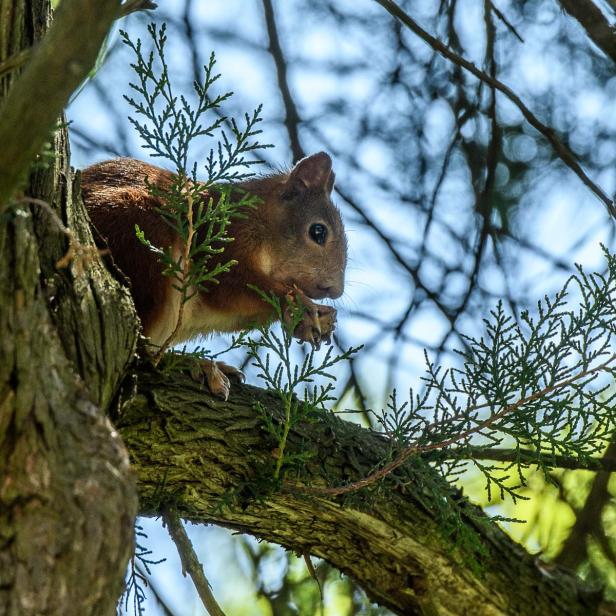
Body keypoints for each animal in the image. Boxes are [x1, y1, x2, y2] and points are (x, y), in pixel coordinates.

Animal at [80, 152, 346, 398]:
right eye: (318, 232)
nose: (335, 290)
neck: (259, 217)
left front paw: (321, 318)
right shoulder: (224, 238)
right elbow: (228, 288)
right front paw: (300, 306)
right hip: (139, 235)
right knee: (142, 351)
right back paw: (193, 363)